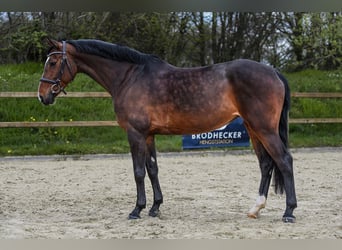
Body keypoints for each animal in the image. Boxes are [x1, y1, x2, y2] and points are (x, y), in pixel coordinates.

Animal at [38, 39, 296, 223]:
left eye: (52, 63)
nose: (42, 96)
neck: (130, 77)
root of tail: (273, 72)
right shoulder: (148, 135)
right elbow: (152, 169)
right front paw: (155, 207)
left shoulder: (135, 133)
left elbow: (138, 172)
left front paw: (137, 209)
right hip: (253, 129)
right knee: (266, 163)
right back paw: (256, 208)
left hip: (264, 128)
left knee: (283, 160)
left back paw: (289, 212)